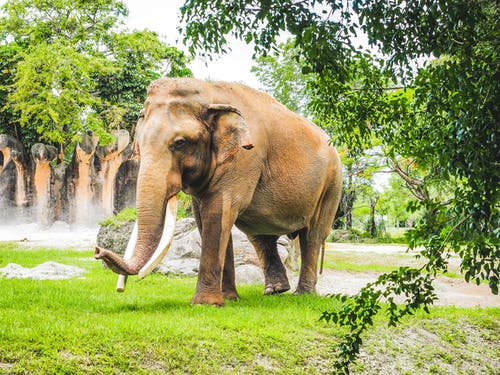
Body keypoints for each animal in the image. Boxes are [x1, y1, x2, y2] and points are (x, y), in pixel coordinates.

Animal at [95, 78, 342, 306]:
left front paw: (205, 303)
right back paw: (275, 291)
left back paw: (304, 294)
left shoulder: (245, 157)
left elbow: (217, 211)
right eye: (140, 143)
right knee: (260, 236)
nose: (97, 251)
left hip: (332, 183)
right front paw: (229, 299)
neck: (209, 91)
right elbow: (205, 218)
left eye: (180, 143)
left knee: (312, 235)